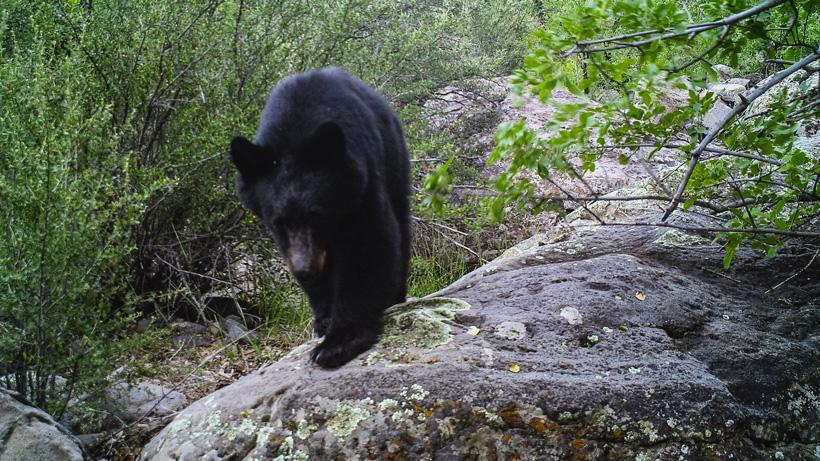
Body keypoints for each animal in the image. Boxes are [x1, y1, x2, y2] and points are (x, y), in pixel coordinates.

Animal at [229, 68, 410, 368]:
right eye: (278, 221)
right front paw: (325, 319)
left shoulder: (362, 182)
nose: (305, 269)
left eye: (317, 215)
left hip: (394, 157)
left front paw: (338, 343)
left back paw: (396, 294)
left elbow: (369, 245)